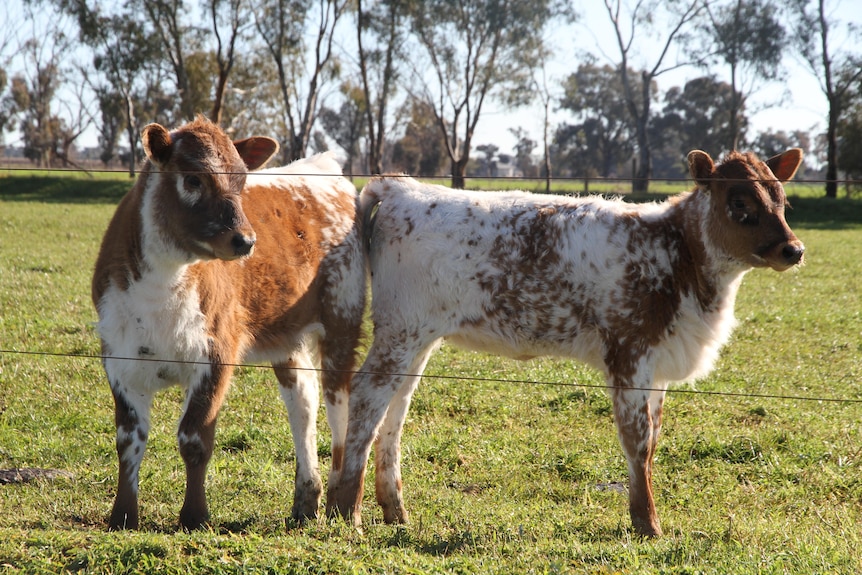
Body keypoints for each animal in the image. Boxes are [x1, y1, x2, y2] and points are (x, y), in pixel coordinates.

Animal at [93, 118, 366, 532]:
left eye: (241, 180)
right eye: (193, 179)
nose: (245, 240)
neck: (161, 288)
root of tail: (324, 167)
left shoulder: (216, 352)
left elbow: (194, 437)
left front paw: (195, 516)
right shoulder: (120, 357)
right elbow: (128, 439)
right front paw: (122, 515)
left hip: (342, 317)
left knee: (342, 409)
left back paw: (343, 505)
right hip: (286, 335)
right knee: (303, 400)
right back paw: (306, 499)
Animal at [330, 148, 808, 540]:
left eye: (781, 198)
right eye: (739, 202)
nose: (794, 249)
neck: (678, 257)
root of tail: (402, 185)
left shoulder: (658, 361)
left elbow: (652, 440)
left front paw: (644, 516)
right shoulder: (629, 352)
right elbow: (637, 439)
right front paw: (647, 523)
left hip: (419, 337)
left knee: (396, 408)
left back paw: (394, 511)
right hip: (402, 329)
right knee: (370, 396)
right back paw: (345, 511)